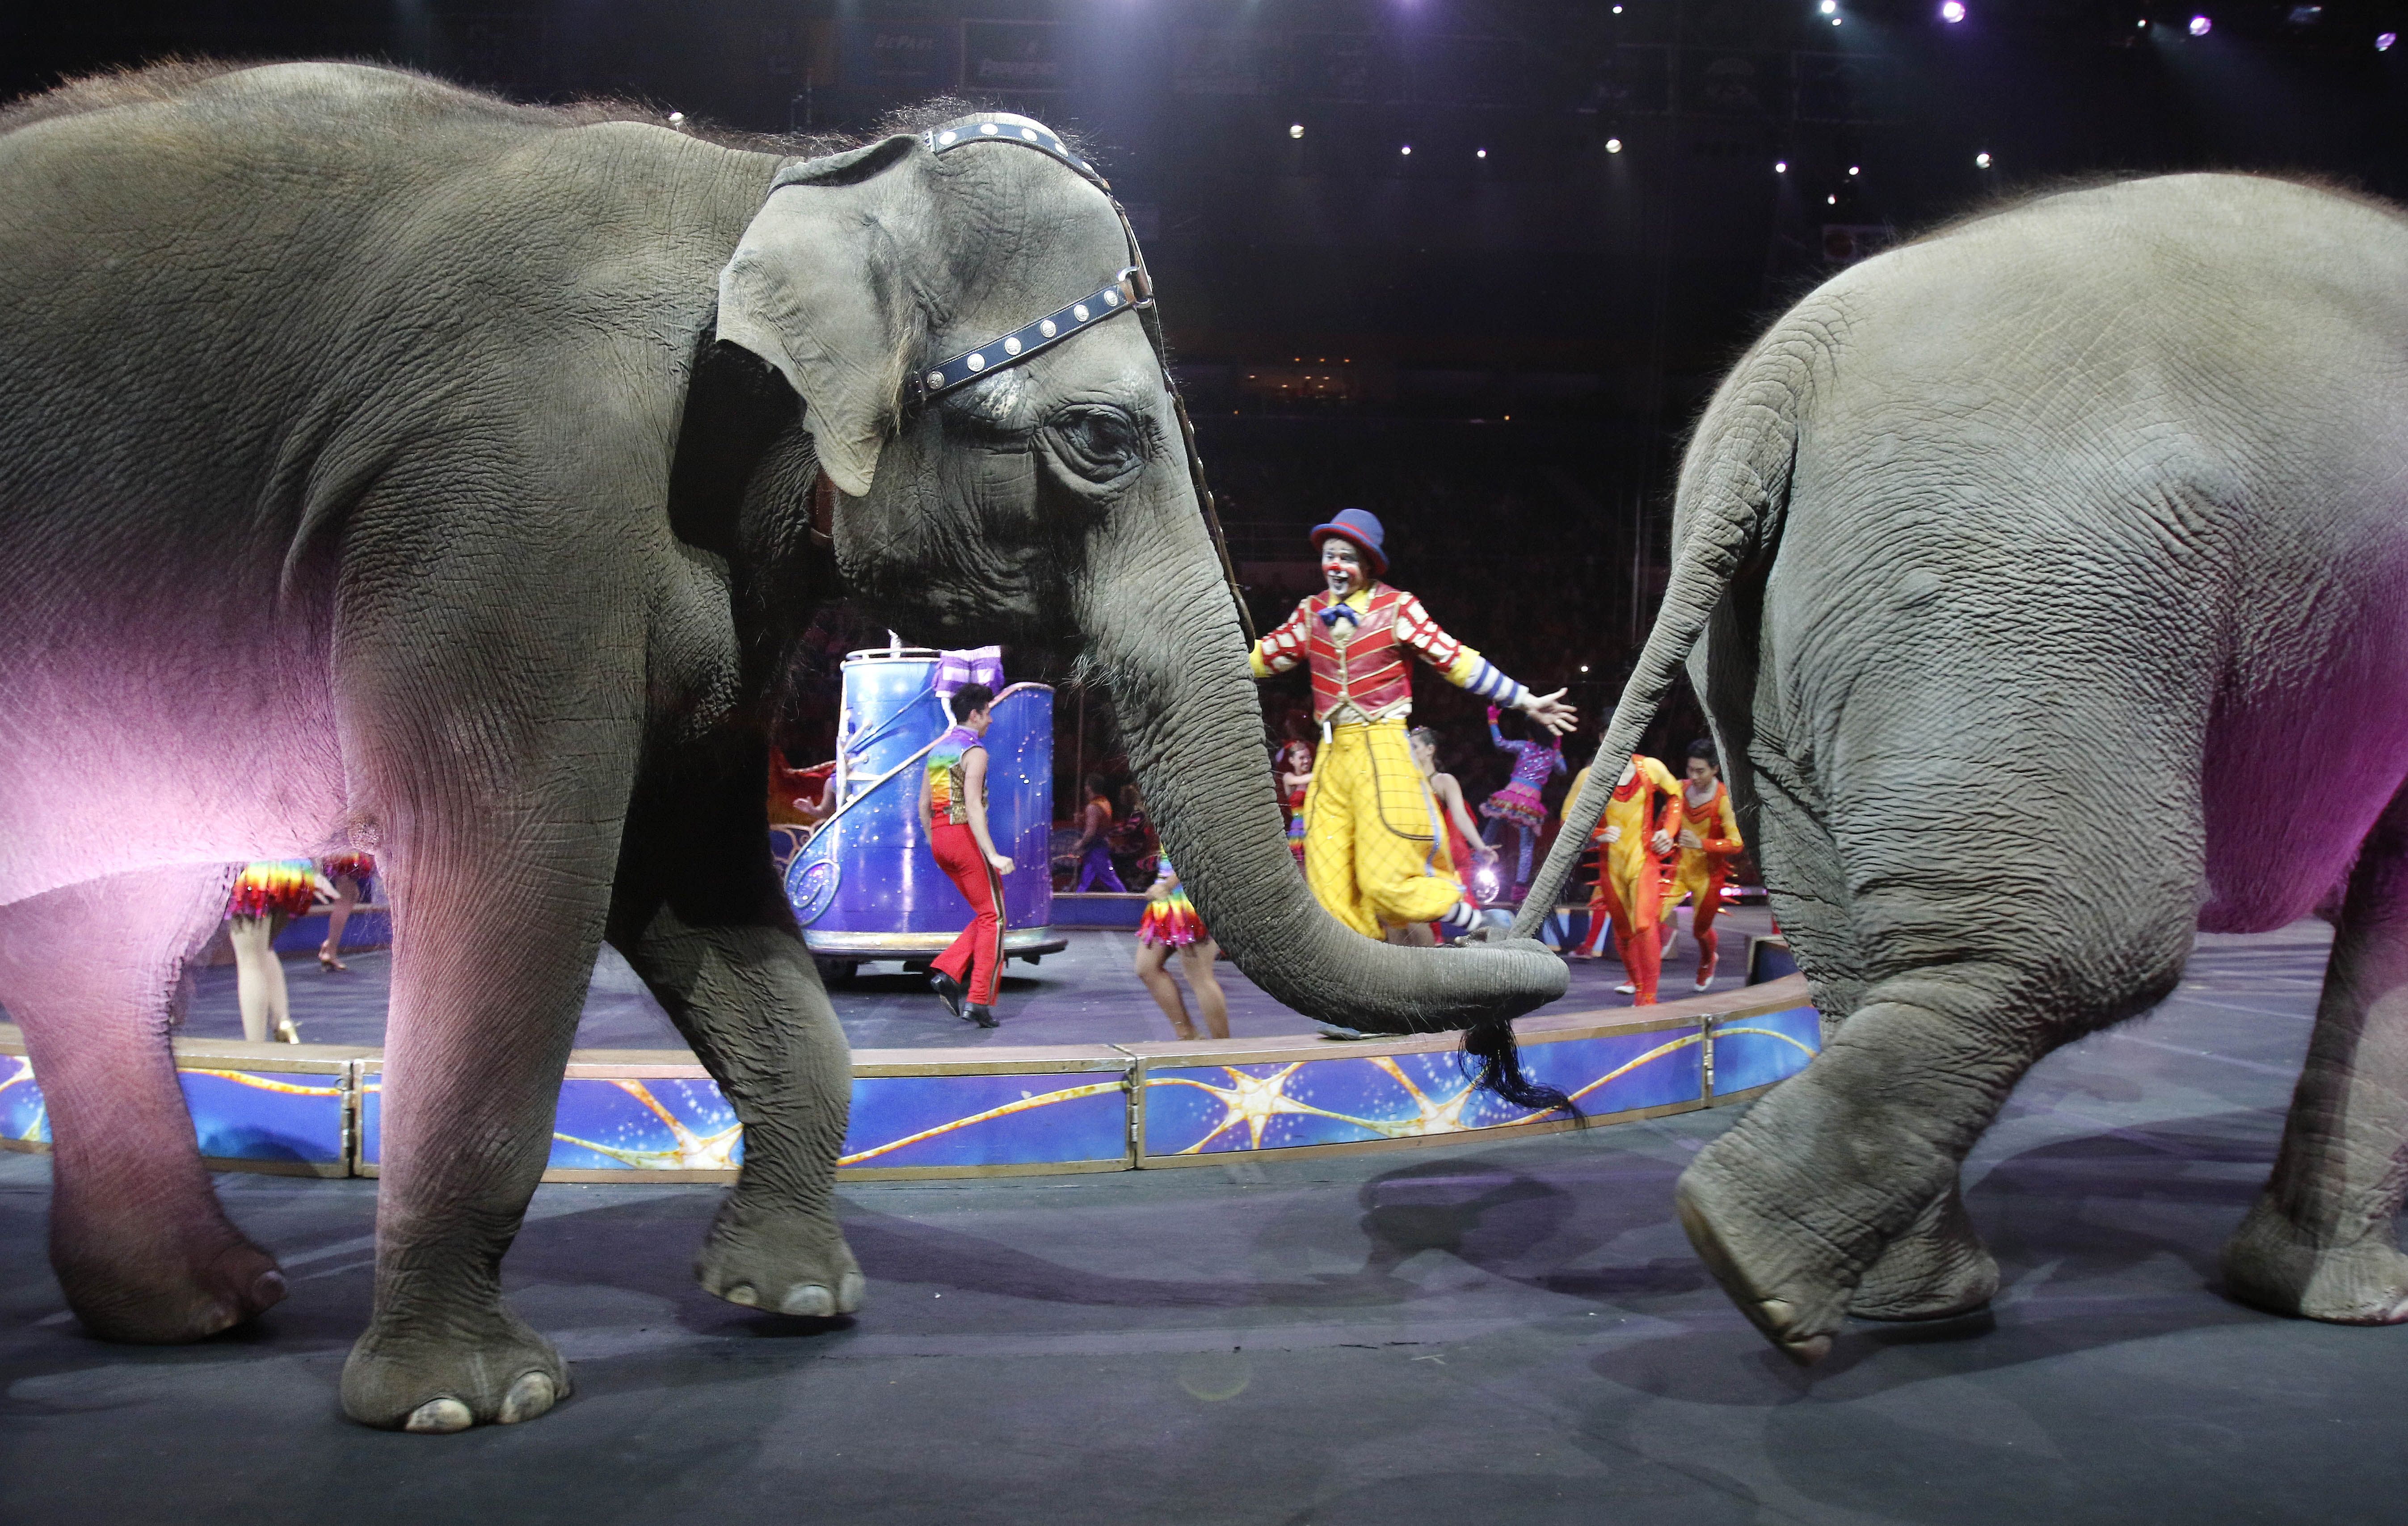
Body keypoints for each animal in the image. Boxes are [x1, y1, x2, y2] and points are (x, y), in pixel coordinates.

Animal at [0, 62, 1560, 1425]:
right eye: (1102, 439)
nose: (1514, 972)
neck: (783, 179)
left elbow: (692, 864)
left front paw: (791, 1297)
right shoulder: (515, 499)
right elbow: (520, 865)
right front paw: (468, 1398)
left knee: (100, 942)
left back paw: (201, 1304)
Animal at [1522, 176, 2408, 1357]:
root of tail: (1787, 375)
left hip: (1801, 649)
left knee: (1863, 948)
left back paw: (1849, 1282)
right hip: (2024, 600)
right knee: (2087, 935)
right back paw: (1756, 1258)